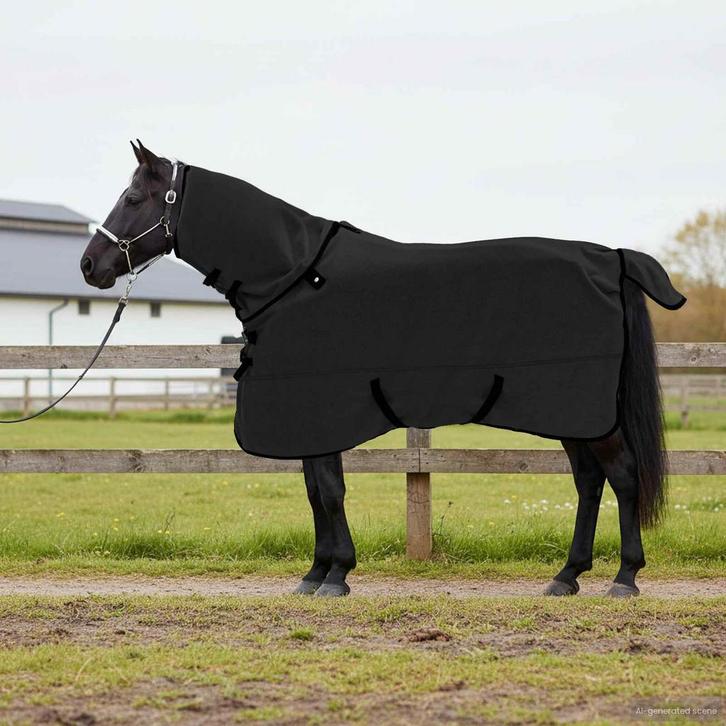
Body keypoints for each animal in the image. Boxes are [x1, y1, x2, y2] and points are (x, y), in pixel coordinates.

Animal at [80, 140, 682, 598]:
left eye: (132, 197)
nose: (90, 265)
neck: (294, 277)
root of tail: (611, 258)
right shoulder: (305, 417)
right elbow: (316, 492)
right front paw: (315, 574)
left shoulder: (320, 411)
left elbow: (329, 491)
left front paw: (336, 576)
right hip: (573, 416)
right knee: (589, 482)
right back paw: (566, 576)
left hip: (585, 412)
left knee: (623, 476)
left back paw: (625, 578)